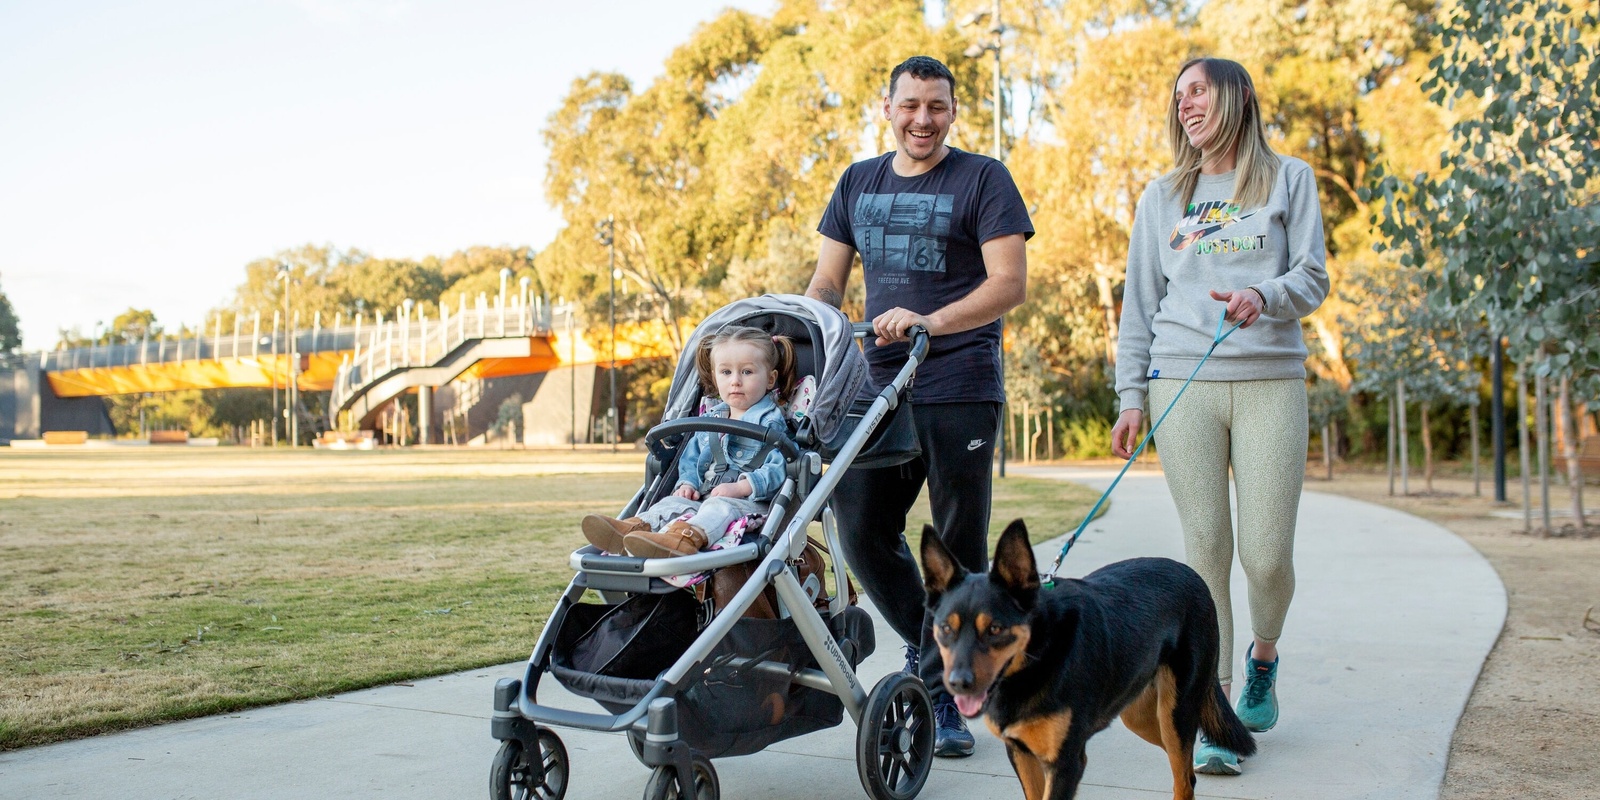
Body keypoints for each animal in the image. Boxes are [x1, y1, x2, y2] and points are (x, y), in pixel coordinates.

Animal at [928, 518, 1248, 800]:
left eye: (995, 628)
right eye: (945, 628)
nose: (958, 684)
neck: (1040, 653)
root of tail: (1195, 576)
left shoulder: (1066, 763)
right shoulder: (1021, 753)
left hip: (1175, 714)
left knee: (1184, 778)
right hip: (1141, 715)